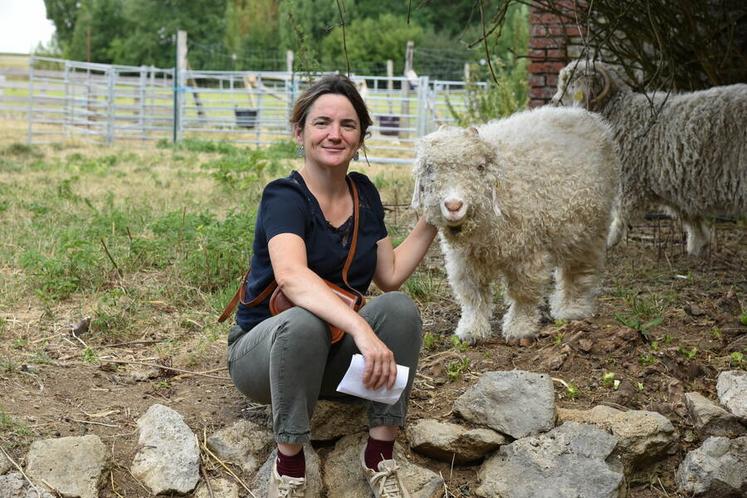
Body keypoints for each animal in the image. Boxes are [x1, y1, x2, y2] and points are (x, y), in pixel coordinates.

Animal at [414, 107, 620, 344]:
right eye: (430, 169)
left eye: (480, 167)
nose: (454, 205)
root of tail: (586, 115)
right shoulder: (465, 257)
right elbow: (472, 293)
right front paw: (471, 330)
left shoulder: (527, 251)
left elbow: (524, 293)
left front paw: (520, 328)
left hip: (589, 227)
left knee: (580, 269)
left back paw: (572, 309)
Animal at [548, 59, 747, 255]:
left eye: (569, 84)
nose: (553, 103)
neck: (617, 113)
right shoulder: (673, 185)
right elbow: (689, 217)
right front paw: (698, 246)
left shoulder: (628, 179)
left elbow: (620, 214)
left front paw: (609, 242)